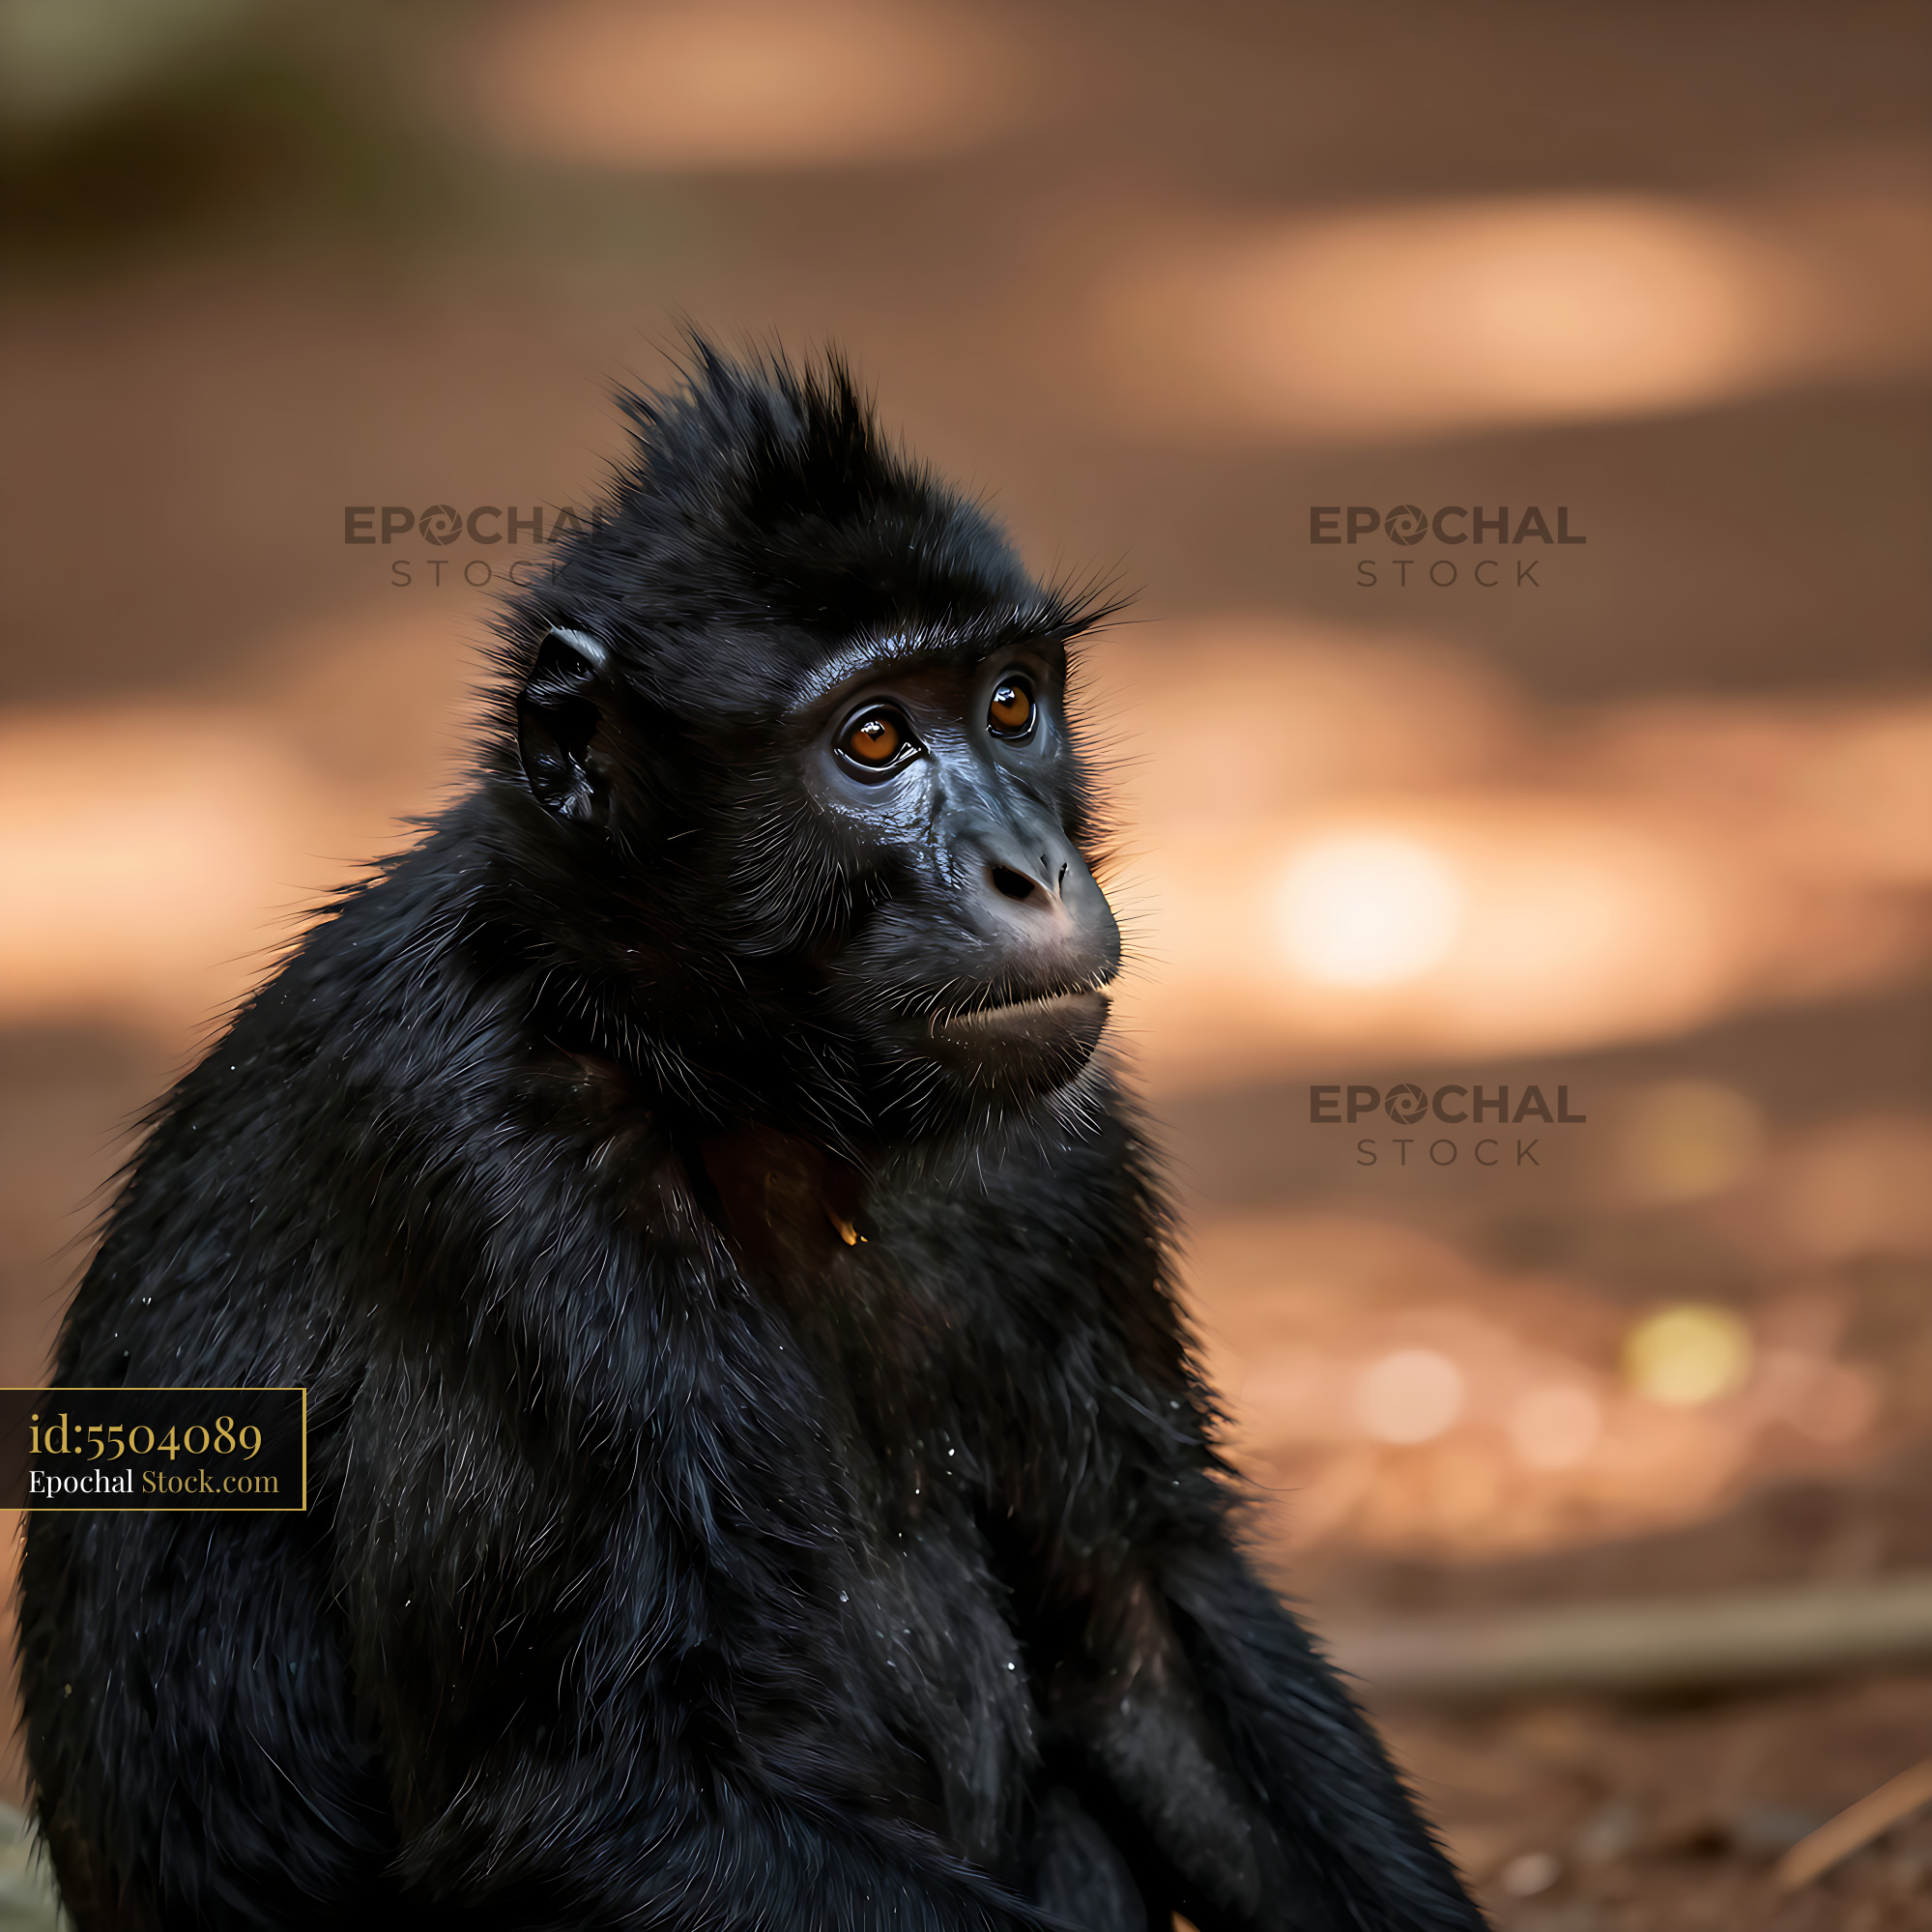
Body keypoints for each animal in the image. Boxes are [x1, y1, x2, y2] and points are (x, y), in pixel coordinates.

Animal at [20, 346, 1487, 1932]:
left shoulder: (1057, 1142)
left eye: (1011, 704)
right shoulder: (489, 1161)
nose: (1029, 868)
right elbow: (585, 1798)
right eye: (873, 739)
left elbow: (1142, 1620)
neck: (723, 1078)